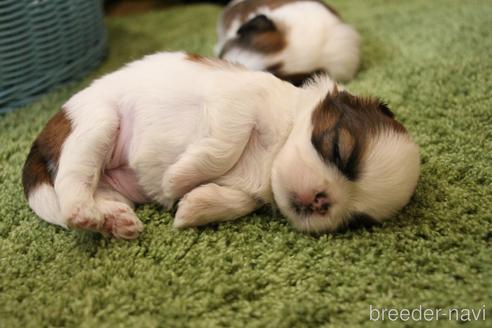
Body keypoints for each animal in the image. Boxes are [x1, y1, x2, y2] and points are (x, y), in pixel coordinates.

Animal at [20, 52, 418, 240]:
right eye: (338, 149)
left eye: (355, 220)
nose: (322, 201)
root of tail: (45, 133)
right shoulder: (236, 106)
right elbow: (225, 146)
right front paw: (175, 183)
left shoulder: (253, 192)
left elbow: (234, 200)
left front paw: (191, 208)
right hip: (98, 122)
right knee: (71, 184)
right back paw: (84, 213)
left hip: (113, 186)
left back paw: (114, 221)